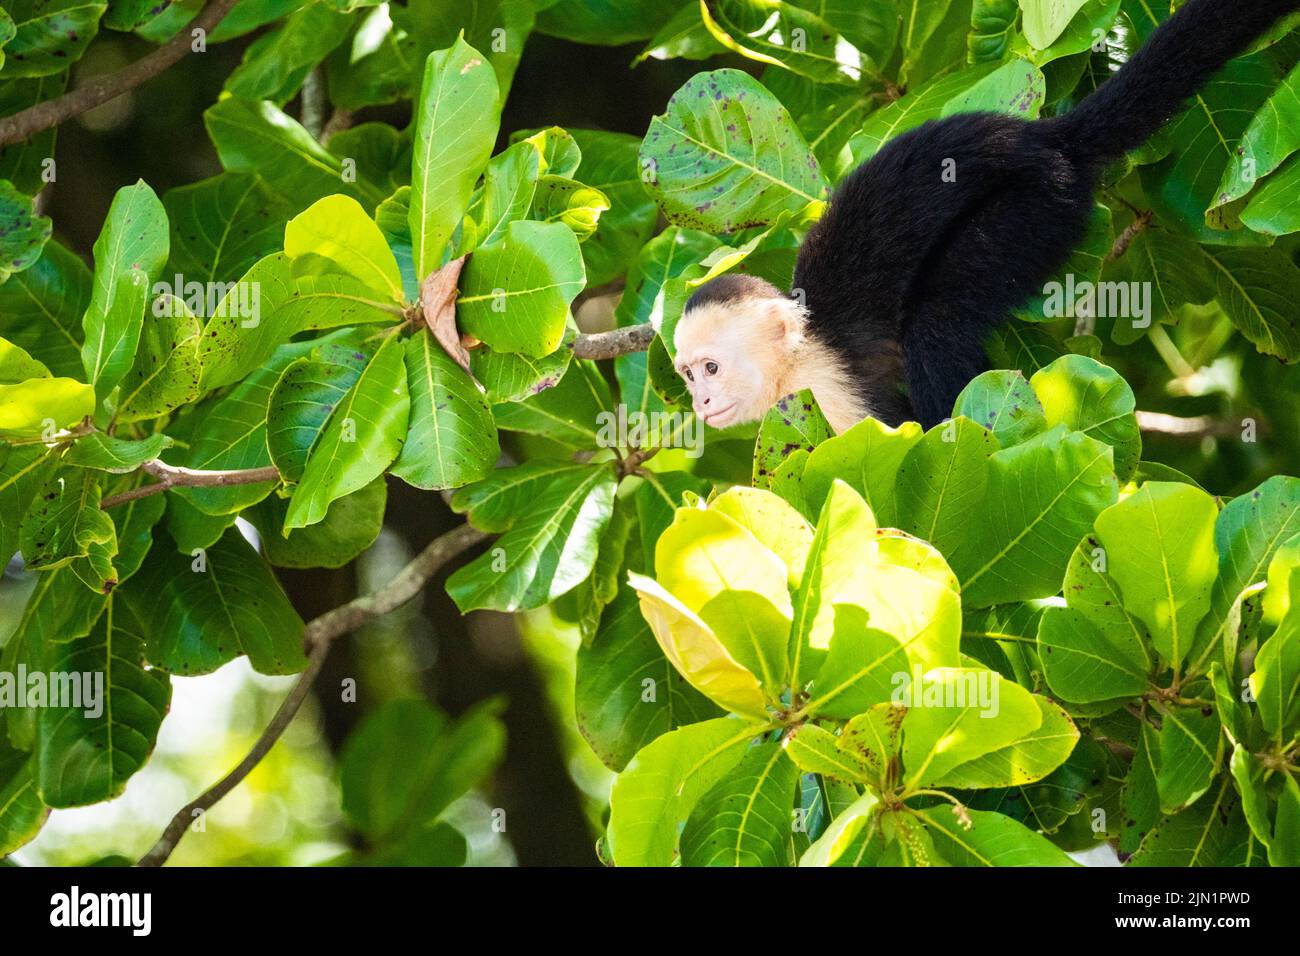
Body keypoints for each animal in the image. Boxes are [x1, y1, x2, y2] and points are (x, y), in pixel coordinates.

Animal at [673, 0, 1300, 433]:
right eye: (686, 374)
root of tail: (1047, 138)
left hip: (1035, 205)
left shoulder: (829, 391)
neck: (797, 357)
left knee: (938, 318)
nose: (699, 401)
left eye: (711, 369)